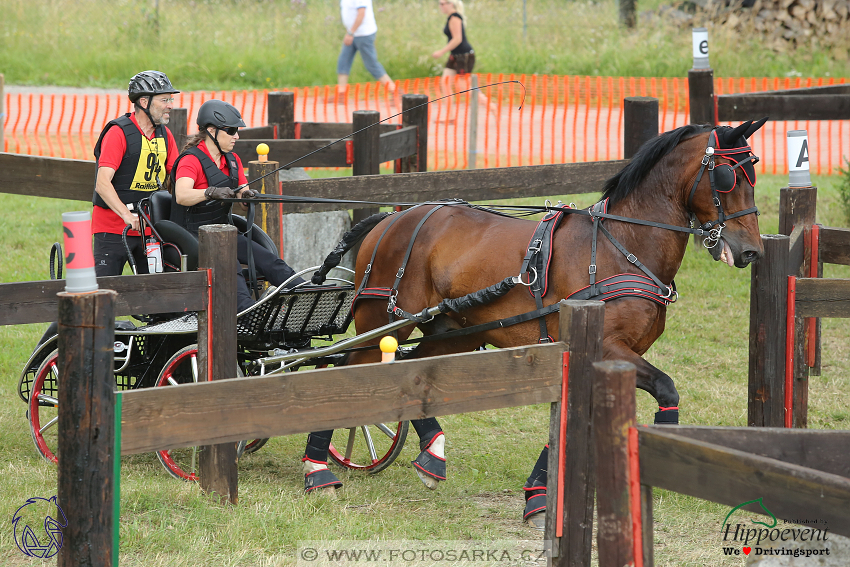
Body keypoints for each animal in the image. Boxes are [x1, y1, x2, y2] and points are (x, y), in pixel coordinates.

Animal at [300, 121, 768, 510]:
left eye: (754, 175)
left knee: (411, 377)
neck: (621, 244)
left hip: (454, 332)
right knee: (340, 371)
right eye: (727, 177)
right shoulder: (608, 346)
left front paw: (540, 492)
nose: (751, 251)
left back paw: (432, 456)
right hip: (382, 321)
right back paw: (317, 470)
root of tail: (391, 218)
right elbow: (665, 388)